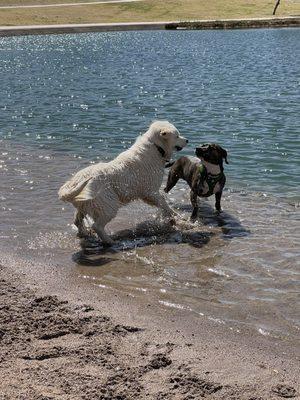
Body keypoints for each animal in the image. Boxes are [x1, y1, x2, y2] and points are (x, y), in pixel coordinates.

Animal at [58, 120, 188, 244]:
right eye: (177, 136)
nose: (187, 140)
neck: (157, 147)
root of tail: (73, 182)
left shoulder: (147, 194)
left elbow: (163, 205)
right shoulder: (151, 191)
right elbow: (164, 204)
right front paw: (177, 216)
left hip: (85, 203)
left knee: (77, 220)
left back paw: (84, 233)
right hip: (108, 204)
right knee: (97, 226)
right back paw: (109, 241)